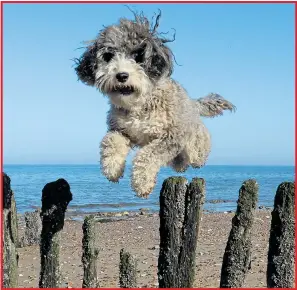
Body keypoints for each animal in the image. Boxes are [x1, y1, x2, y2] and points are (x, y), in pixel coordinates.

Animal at [73, 10, 234, 197]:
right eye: (108, 56)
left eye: (138, 56)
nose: (121, 75)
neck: (138, 104)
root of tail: (192, 103)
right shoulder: (120, 129)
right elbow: (110, 141)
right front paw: (112, 168)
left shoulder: (170, 136)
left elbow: (148, 155)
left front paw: (141, 182)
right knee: (180, 161)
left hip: (195, 142)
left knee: (197, 149)